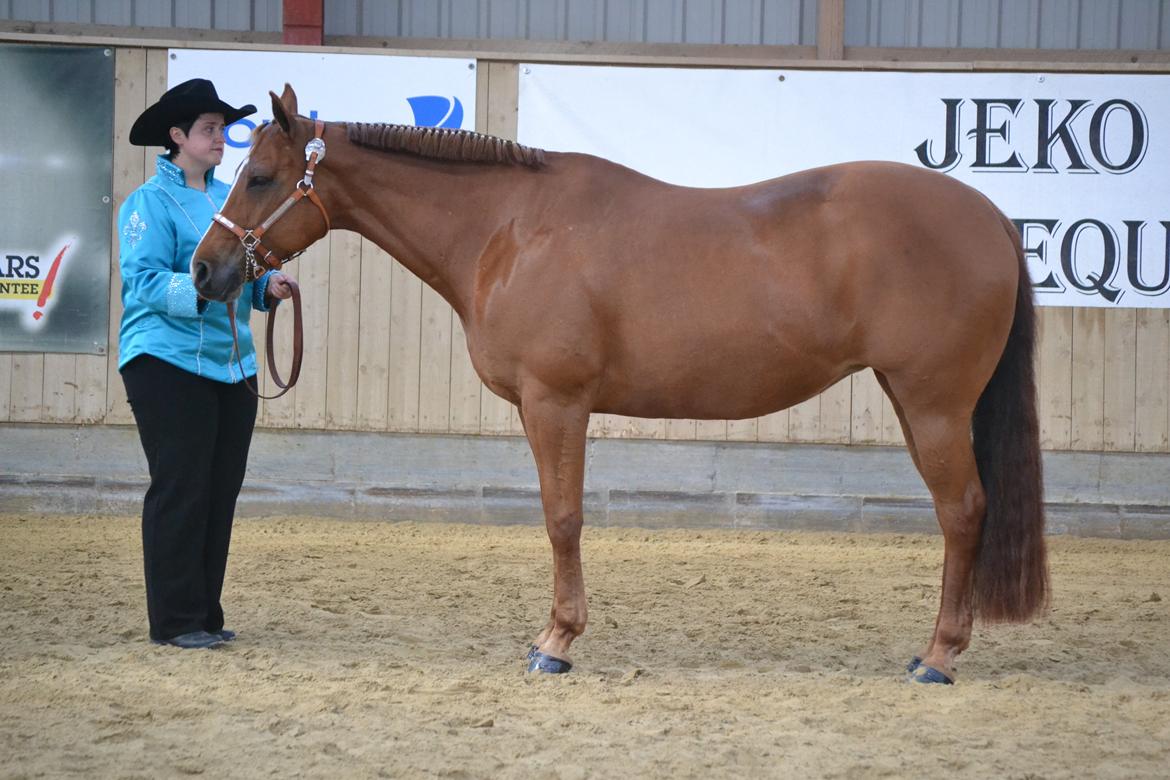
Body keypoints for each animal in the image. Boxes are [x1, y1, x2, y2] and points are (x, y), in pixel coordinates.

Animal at [194, 87, 1053, 682]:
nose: (206, 270)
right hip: (914, 402)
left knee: (963, 512)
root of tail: (990, 217)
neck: (510, 231)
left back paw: (937, 656)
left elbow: (563, 519)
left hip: (934, 404)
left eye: (260, 176)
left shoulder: (555, 403)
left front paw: (556, 642)